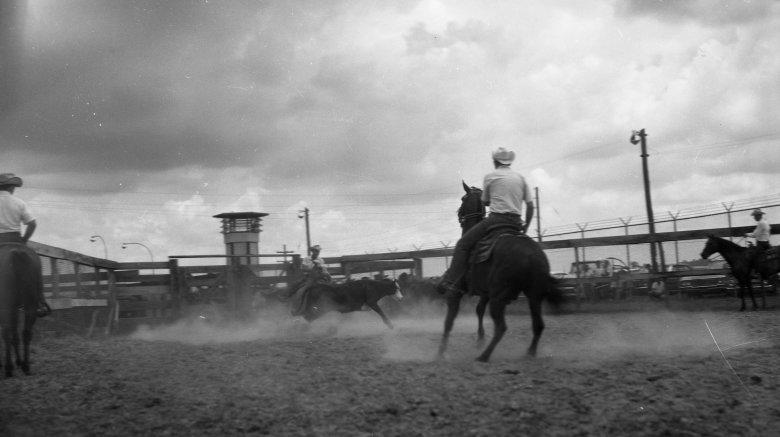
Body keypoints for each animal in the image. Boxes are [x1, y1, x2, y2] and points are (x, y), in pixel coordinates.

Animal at [0, 244, 44, 376]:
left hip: (8, 305)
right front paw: (18, 362)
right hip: (30, 305)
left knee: (8, 333)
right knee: (26, 333)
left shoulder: (11, 309)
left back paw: (10, 367)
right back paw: (25, 366)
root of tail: (17, 253)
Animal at [438, 181, 560, 362]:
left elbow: (449, 321)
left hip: (499, 298)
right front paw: (480, 339)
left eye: (463, 199)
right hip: (534, 296)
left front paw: (441, 352)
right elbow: (479, 310)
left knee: (502, 327)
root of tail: (531, 255)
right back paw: (529, 353)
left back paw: (484, 356)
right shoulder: (485, 292)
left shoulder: (456, 293)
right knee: (538, 325)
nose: (459, 213)